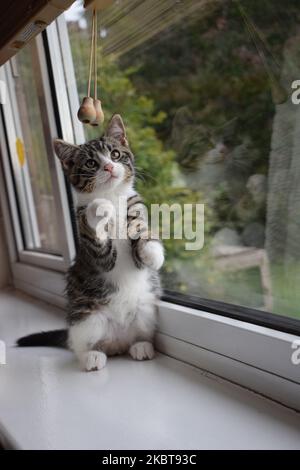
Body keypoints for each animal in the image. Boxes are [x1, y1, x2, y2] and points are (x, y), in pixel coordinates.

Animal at [17, 114, 164, 370]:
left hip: (145, 310)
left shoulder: (135, 204)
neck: (112, 197)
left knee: (139, 332)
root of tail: (118, 342)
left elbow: (142, 232)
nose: (108, 166)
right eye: (90, 164)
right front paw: (98, 208)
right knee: (82, 344)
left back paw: (141, 345)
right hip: (85, 319)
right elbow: (99, 244)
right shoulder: (94, 251)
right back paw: (92, 356)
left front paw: (153, 253)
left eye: (115, 154)